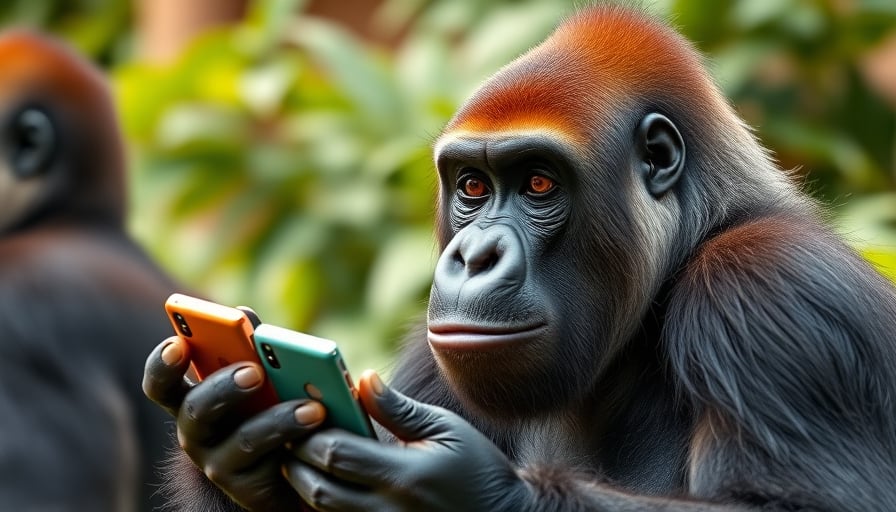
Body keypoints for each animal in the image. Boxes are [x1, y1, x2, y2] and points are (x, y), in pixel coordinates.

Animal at [142, 5, 896, 511]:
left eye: (537, 183)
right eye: (472, 187)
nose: (473, 256)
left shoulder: (771, 291)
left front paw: (459, 489)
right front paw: (229, 443)